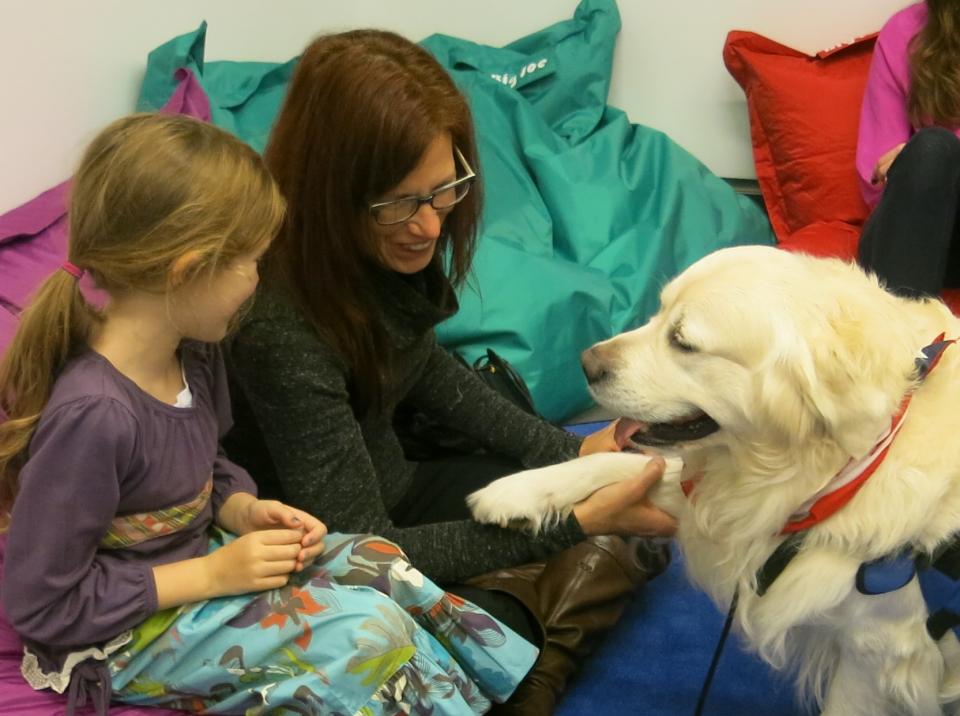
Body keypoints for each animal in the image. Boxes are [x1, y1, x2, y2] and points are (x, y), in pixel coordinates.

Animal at [474, 246, 960, 716]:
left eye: (683, 341)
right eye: (659, 311)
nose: (584, 363)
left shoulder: (879, 651)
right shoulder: (724, 501)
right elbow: (616, 463)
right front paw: (516, 492)